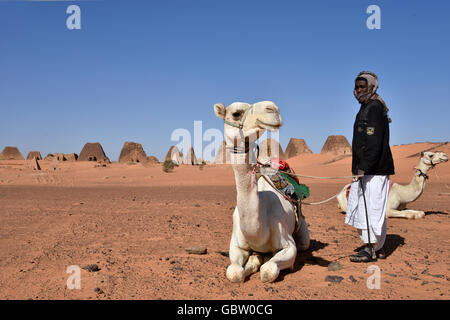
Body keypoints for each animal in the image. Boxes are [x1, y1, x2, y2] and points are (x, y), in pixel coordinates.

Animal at [214, 100, 310, 282]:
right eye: (236, 113)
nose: (272, 108)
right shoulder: (235, 246)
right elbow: (234, 272)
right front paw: (251, 262)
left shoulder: (289, 245)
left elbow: (268, 270)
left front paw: (262, 261)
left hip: (302, 230)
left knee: (304, 243)